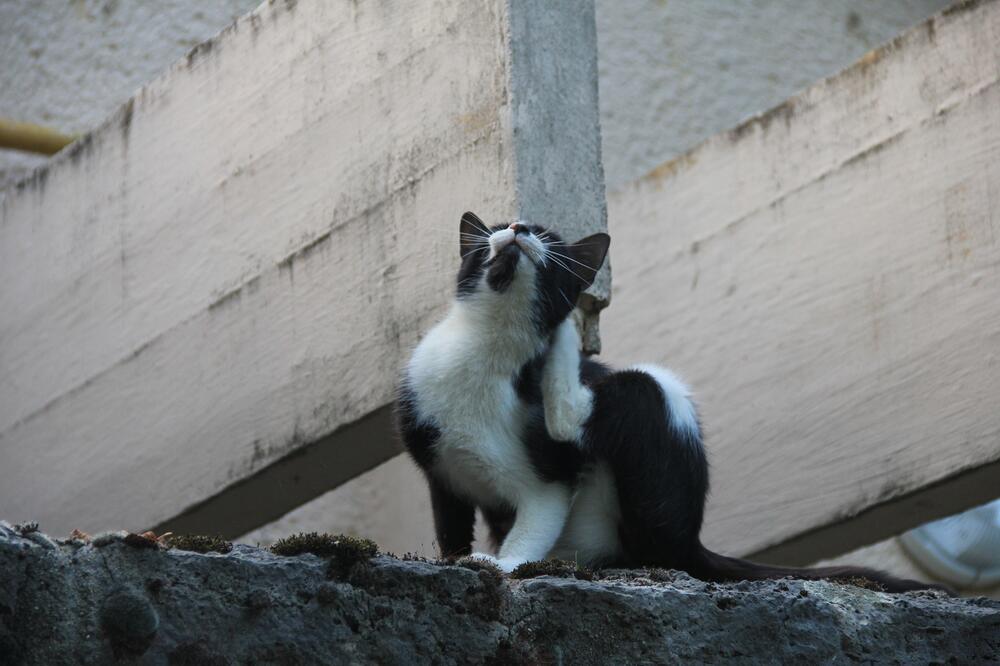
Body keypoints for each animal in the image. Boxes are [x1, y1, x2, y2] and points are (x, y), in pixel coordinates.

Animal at [396, 210, 936, 588]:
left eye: (545, 235)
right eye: (495, 229)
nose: (516, 227)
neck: (489, 347)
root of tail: (693, 540)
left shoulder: (548, 480)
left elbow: (534, 520)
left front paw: (502, 562)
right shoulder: (439, 465)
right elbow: (451, 524)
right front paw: (457, 557)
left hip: (652, 406)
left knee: (612, 416)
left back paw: (567, 335)